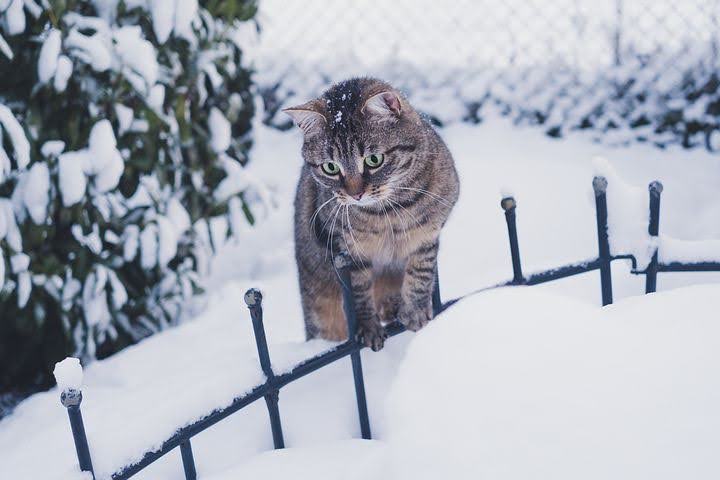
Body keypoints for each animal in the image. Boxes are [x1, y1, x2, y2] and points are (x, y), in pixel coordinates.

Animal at [284, 77, 458, 350]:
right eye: (330, 167)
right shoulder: (347, 250)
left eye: (374, 160)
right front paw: (368, 326)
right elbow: (359, 290)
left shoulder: (429, 233)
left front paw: (415, 310)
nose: (356, 194)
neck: (388, 212)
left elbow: (421, 271)